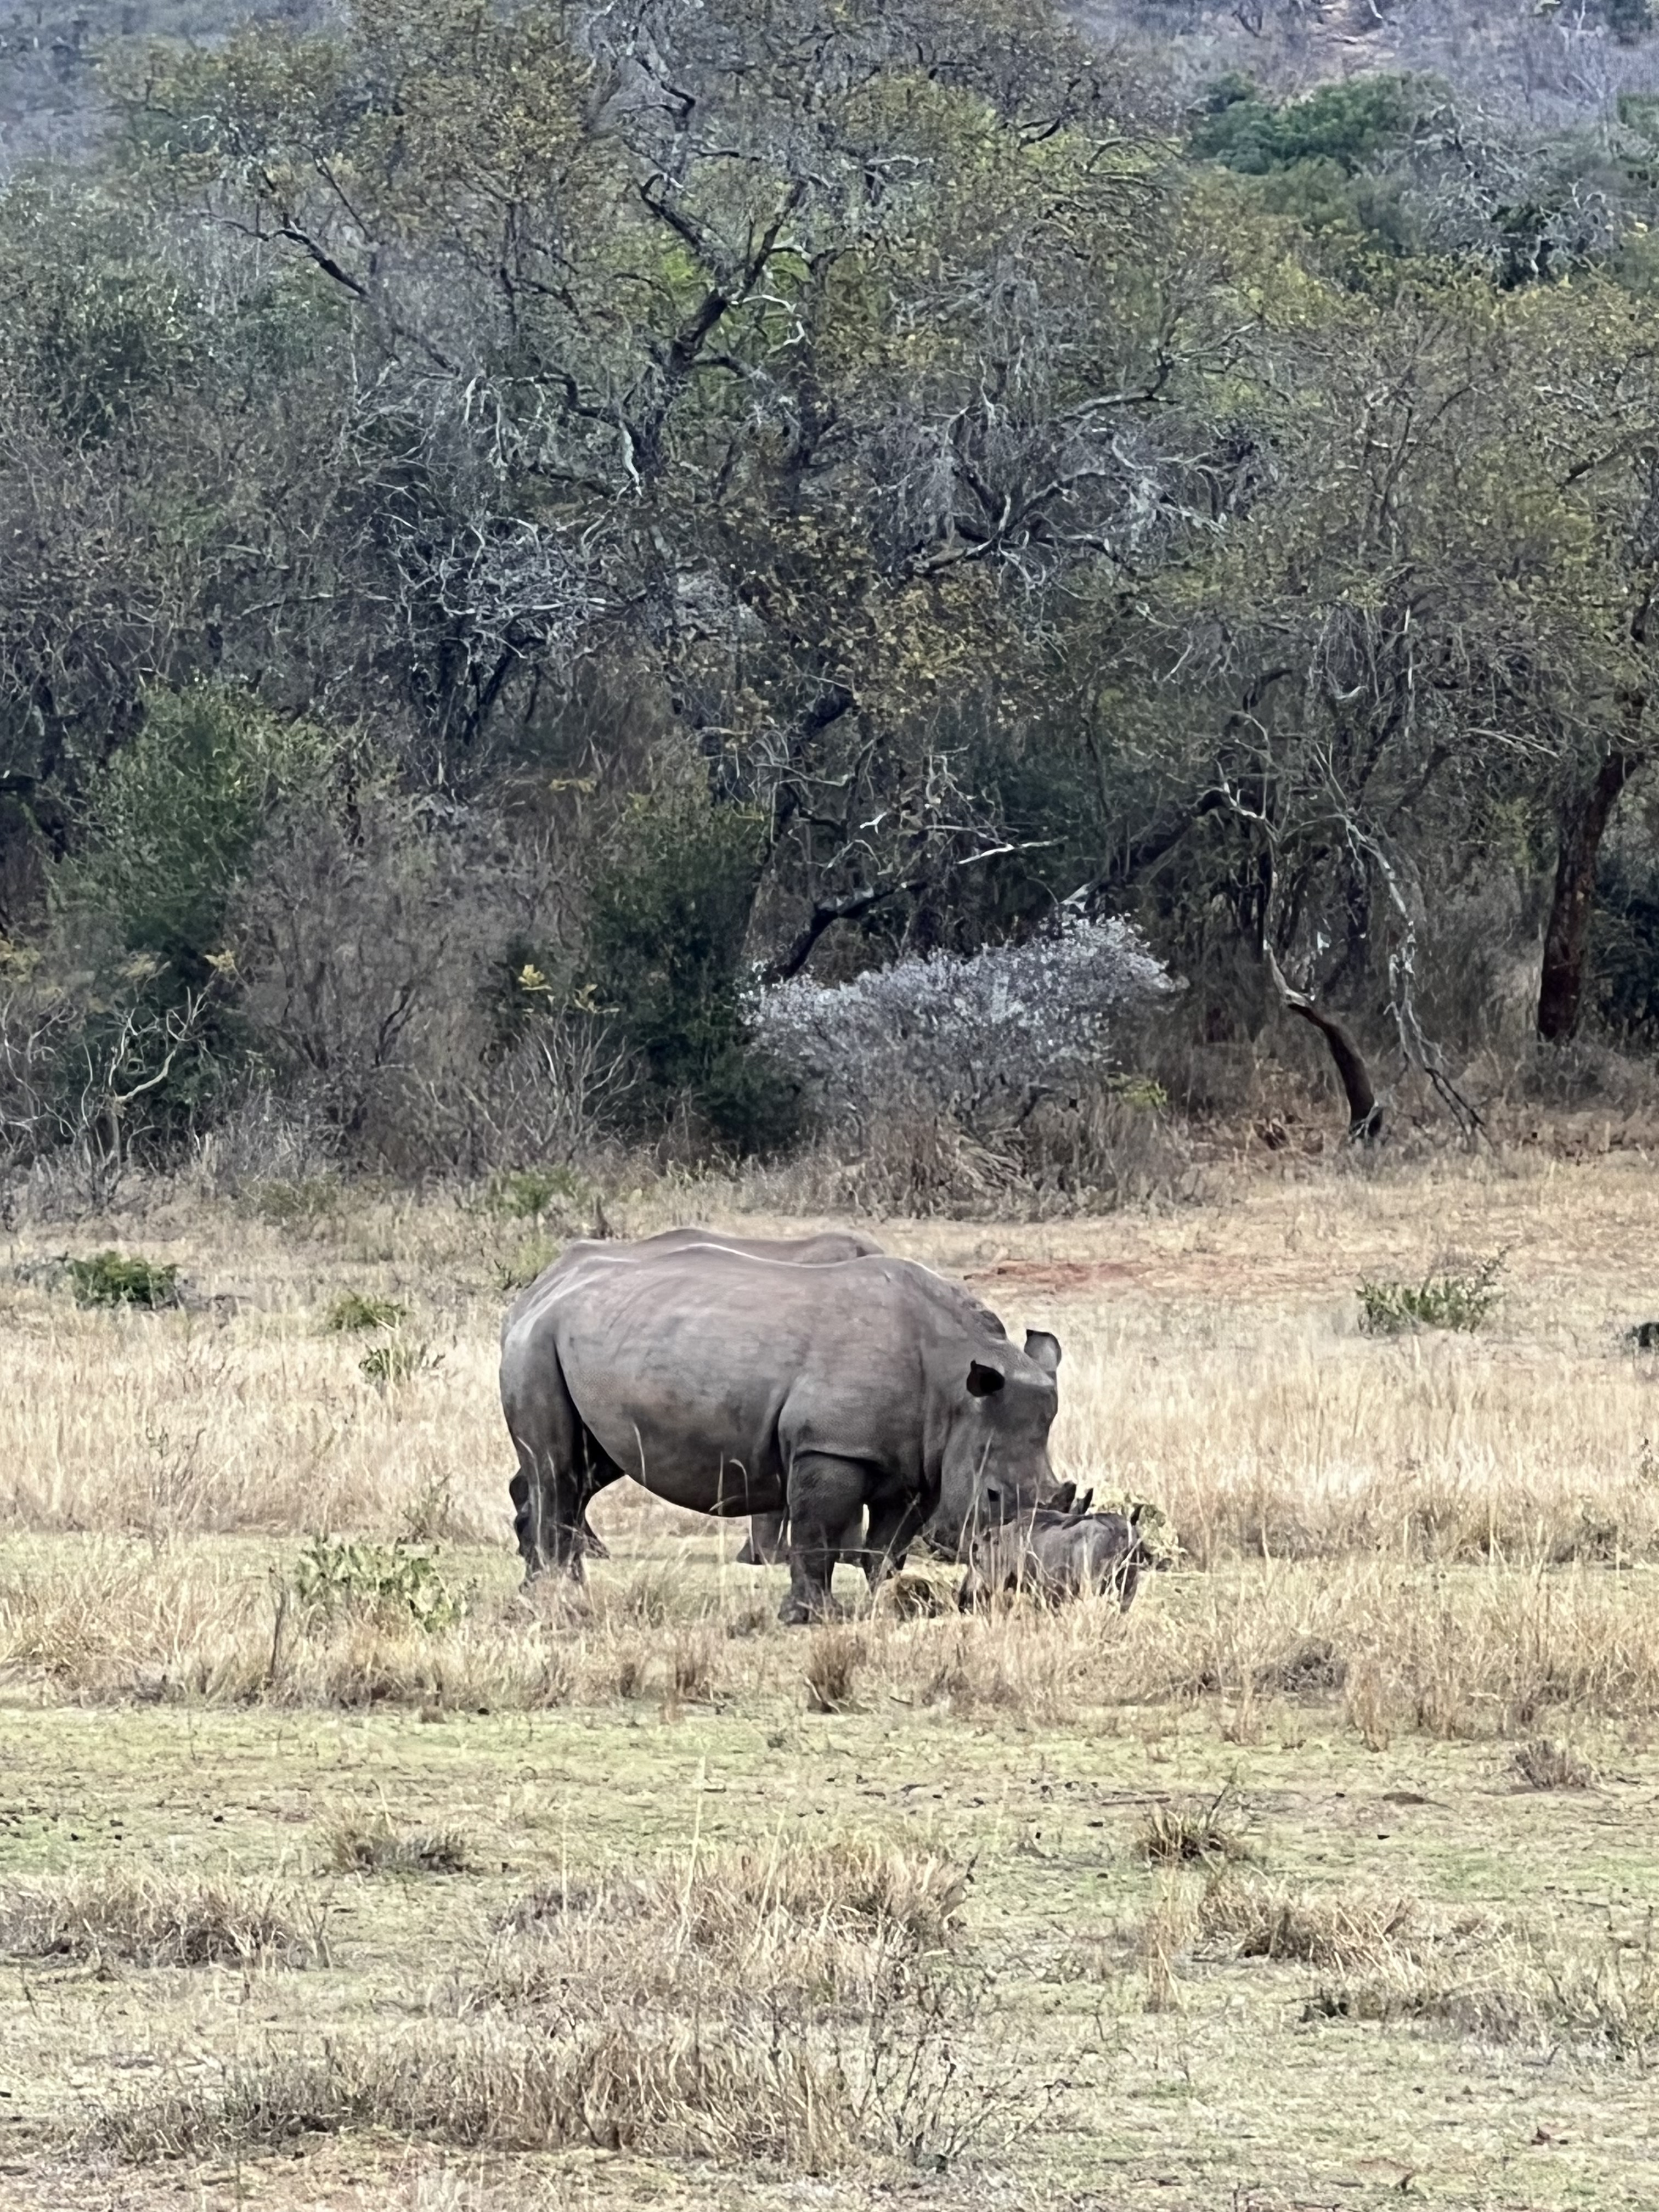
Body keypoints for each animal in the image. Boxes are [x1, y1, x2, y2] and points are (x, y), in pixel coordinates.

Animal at [500, 1239, 1069, 1622]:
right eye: (992, 1495)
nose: (1012, 1576)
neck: (958, 1386)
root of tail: (535, 1294)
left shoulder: (916, 1463)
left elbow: (888, 1545)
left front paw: (887, 1604)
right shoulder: (832, 1446)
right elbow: (817, 1533)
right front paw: (811, 1617)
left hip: (586, 1340)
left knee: (586, 1470)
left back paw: (552, 1589)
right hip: (538, 1342)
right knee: (558, 1470)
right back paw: (555, 1596)